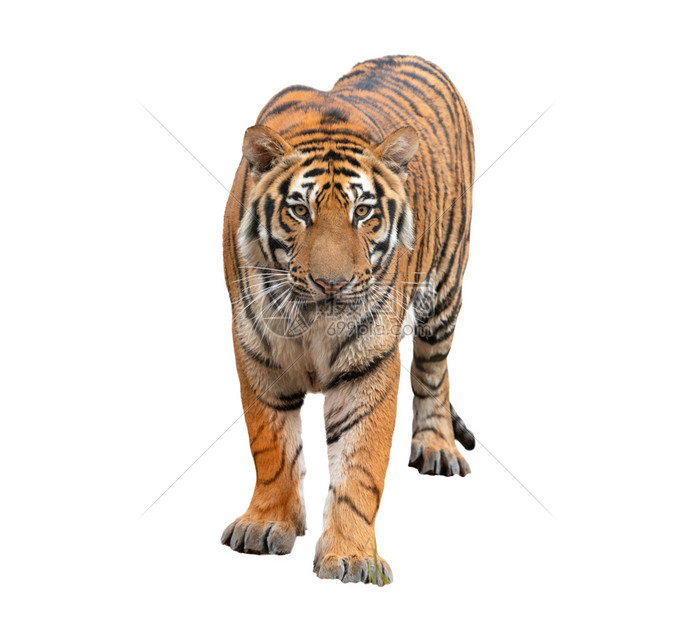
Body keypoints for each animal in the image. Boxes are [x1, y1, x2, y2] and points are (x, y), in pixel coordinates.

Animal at [220, 55, 476, 585]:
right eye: (299, 211)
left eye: (364, 212)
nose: (332, 284)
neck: (311, 320)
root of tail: (412, 54)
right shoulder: (256, 349)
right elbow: (270, 445)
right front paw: (266, 524)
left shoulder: (370, 361)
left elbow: (361, 466)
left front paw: (353, 557)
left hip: (445, 286)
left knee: (433, 369)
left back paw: (437, 446)